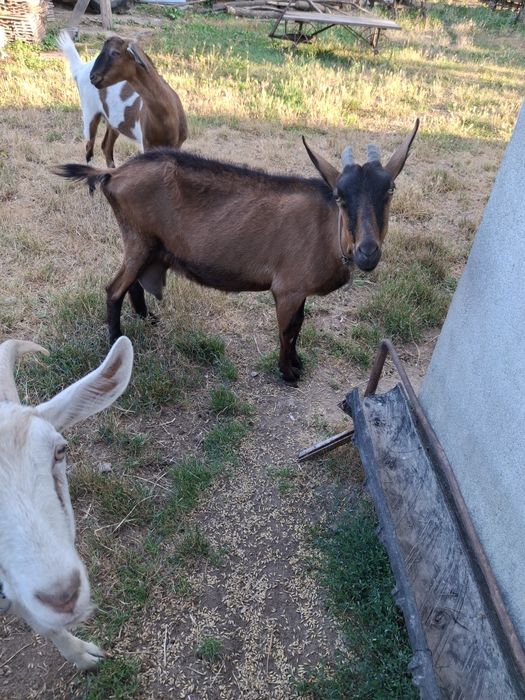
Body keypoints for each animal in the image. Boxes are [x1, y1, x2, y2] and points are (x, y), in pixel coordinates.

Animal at [54, 121, 418, 382]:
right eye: (341, 197)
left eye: (390, 189)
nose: (367, 252)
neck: (327, 227)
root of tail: (114, 173)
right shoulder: (287, 289)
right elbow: (288, 330)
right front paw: (288, 373)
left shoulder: (299, 290)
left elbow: (299, 325)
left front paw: (297, 363)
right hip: (138, 240)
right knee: (113, 289)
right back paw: (116, 343)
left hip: (148, 247)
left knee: (132, 284)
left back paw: (147, 319)